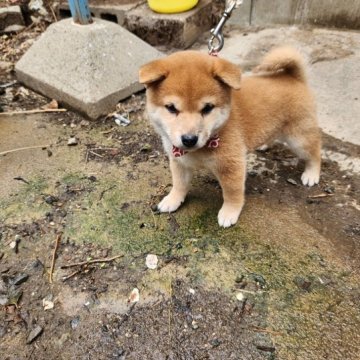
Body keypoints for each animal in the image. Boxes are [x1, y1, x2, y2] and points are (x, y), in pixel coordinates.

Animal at [139, 47, 322, 228]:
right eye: (171, 108)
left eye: (208, 108)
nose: (189, 139)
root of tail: (293, 78)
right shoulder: (179, 161)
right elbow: (179, 184)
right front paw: (172, 200)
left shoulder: (231, 166)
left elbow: (232, 193)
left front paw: (229, 212)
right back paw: (264, 144)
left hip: (299, 138)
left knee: (314, 152)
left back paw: (312, 174)